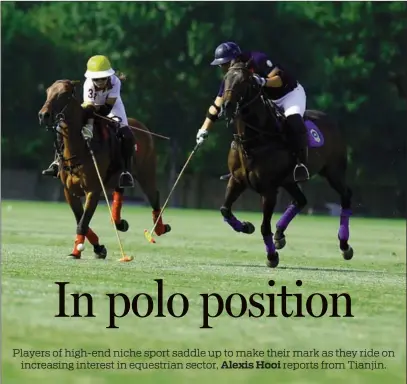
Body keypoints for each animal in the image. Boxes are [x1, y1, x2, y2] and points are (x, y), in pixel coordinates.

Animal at [38, 78, 171, 260]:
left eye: (65, 93)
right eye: (48, 91)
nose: (43, 115)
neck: (80, 148)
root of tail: (142, 127)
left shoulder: (93, 190)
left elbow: (83, 223)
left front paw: (78, 251)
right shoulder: (69, 192)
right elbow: (81, 220)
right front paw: (96, 248)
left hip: (146, 173)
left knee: (154, 196)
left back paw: (159, 228)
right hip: (119, 177)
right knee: (120, 192)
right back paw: (119, 222)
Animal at [220, 61, 354, 268]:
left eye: (244, 81)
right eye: (226, 78)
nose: (227, 106)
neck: (254, 139)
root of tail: (331, 121)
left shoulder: (268, 190)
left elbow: (264, 226)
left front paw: (271, 257)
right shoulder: (236, 180)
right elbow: (225, 210)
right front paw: (246, 226)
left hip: (334, 171)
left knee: (345, 195)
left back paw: (344, 245)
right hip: (289, 180)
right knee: (301, 200)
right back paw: (279, 235)